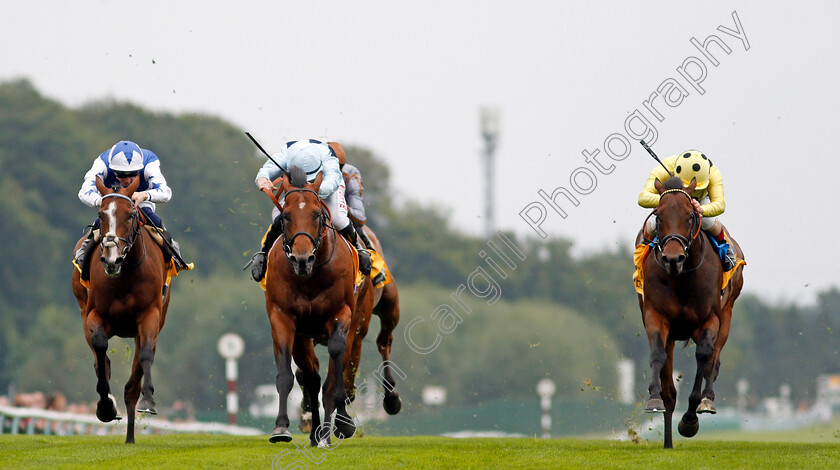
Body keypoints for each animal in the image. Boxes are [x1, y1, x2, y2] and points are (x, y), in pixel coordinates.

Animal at [72, 174, 171, 442]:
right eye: (101, 213)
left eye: (130, 214)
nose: (112, 259)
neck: (124, 275)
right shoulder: (94, 314)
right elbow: (100, 349)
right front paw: (106, 406)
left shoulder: (149, 315)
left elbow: (146, 354)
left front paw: (148, 400)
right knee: (100, 360)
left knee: (132, 383)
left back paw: (130, 436)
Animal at [264, 167, 360, 446]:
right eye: (285, 216)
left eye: (317, 214)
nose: (302, 259)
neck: (311, 276)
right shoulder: (282, 318)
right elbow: (287, 375)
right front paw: (281, 428)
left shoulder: (342, 314)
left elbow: (336, 367)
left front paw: (341, 425)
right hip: (303, 338)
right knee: (312, 378)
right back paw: (316, 432)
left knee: (332, 375)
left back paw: (328, 431)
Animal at [636, 175, 748, 448]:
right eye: (658, 216)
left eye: (689, 216)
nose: (672, 258)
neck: (682, 278)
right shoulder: (656, 317)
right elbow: (657, 356)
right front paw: (654, 399)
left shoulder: (709, 320)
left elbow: (704, 357)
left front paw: (689, 420)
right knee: (670, 386)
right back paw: (667, 438)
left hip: (727, 314)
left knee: (714, 360)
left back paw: (707, 399)